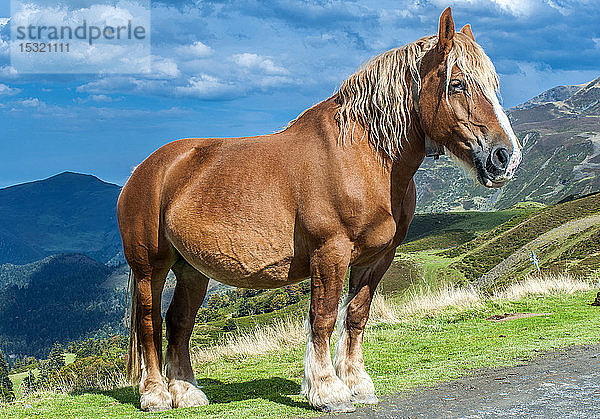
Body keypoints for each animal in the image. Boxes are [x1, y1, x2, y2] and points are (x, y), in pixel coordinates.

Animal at [116, 6, 520, 414]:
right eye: (458, 84)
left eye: (493, 85)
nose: (506, 157)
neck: (361, 155)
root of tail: (143, 171)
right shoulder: (331, 252)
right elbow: (322, 317)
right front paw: (328, 389)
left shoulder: (377, 258)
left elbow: (356, 315)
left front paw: (357, 383)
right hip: (151, 268)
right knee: (150, 322)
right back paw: (155, 394)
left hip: (192, 270)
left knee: (179, 323)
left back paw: (187, 393)